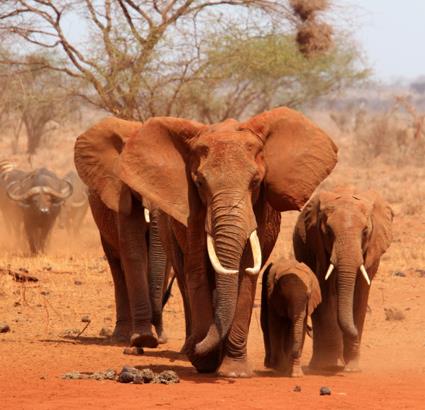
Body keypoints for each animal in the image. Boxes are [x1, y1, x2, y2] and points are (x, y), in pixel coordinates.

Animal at [75, 118, 172, 346]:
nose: (159, 335)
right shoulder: (119, 192)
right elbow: (134, 251)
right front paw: (143, 338)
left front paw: (156, 337)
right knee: (117, 266)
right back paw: (121, 336)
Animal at [294, 186, 392, 372]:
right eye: (328, 232)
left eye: (365, 231)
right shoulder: (318, 247)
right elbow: (324, 290)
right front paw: (326, 365)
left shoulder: (370, 252)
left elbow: (360, 294)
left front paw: (352, 368)